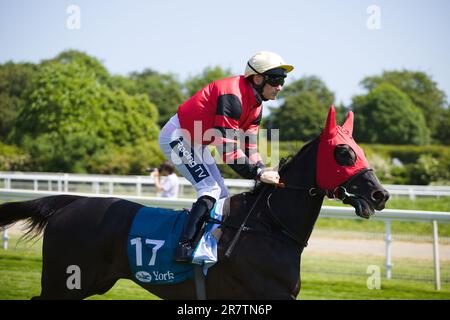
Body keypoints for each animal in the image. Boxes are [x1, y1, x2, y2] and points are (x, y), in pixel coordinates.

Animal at [0, 106, 388, 298]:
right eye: (343, 153)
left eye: (359, 149)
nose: (380, 194)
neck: (267, 228)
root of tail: (70, 204)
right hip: (65, 281)